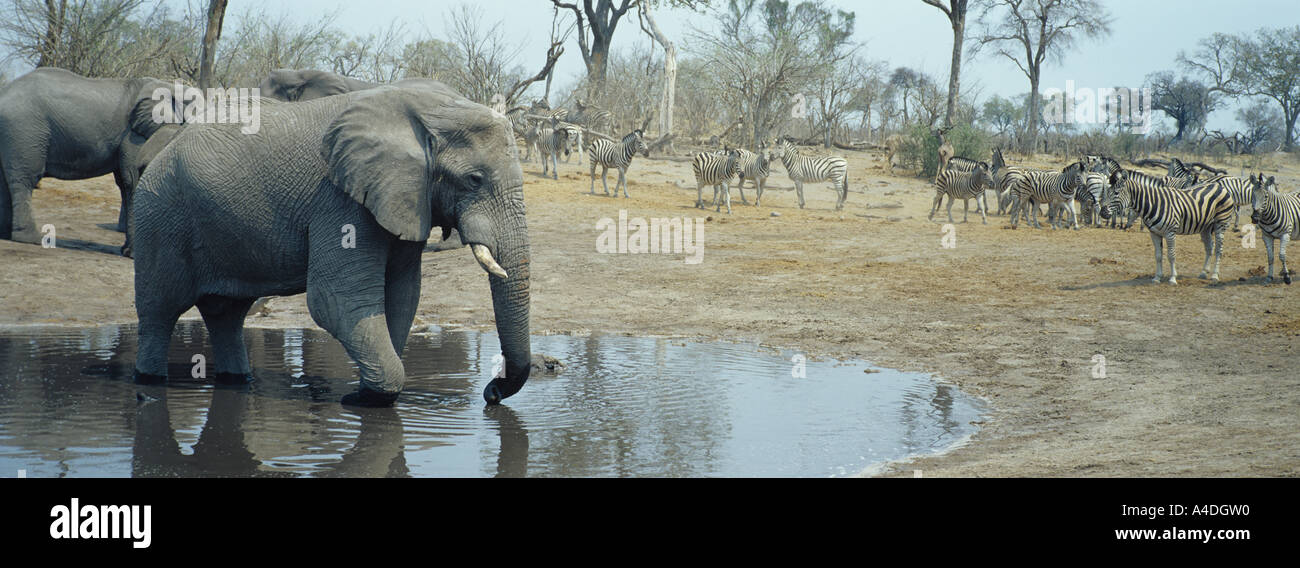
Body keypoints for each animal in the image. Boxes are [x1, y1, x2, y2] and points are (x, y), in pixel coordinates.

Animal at [0, 66, 183, 243]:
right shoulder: (135, 134)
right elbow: (133, 178)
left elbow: (124, 182)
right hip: (24, 129)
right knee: (25, 179)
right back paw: (33, 239)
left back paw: (6, 235)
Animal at [131, 83, 533, 408]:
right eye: (474, 179)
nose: (491, 393)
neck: (432, 110)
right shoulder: (339, 198)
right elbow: (336, 300)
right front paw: (362, 398)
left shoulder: (405, 198)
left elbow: (402, 295)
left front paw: (368, 392)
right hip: (159, 215)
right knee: (160, 309)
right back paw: (148, 383)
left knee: (226, 313)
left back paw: (236, 381)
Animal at [1102, 167, 1232, 283]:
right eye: (1107, 192)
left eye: (1116, 193)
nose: (1102, 212)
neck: (1155, 203)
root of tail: (1219, 186)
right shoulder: (1154, 233)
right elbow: (1158, 255)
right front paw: (1157, 278)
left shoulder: (1170, 233)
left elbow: (1171, 255)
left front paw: (1173, 278)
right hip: (1205, 227)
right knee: (1209, 247)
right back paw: (1203, 273)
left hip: (1221, 223)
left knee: (1219, 249)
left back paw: (1215, 275)